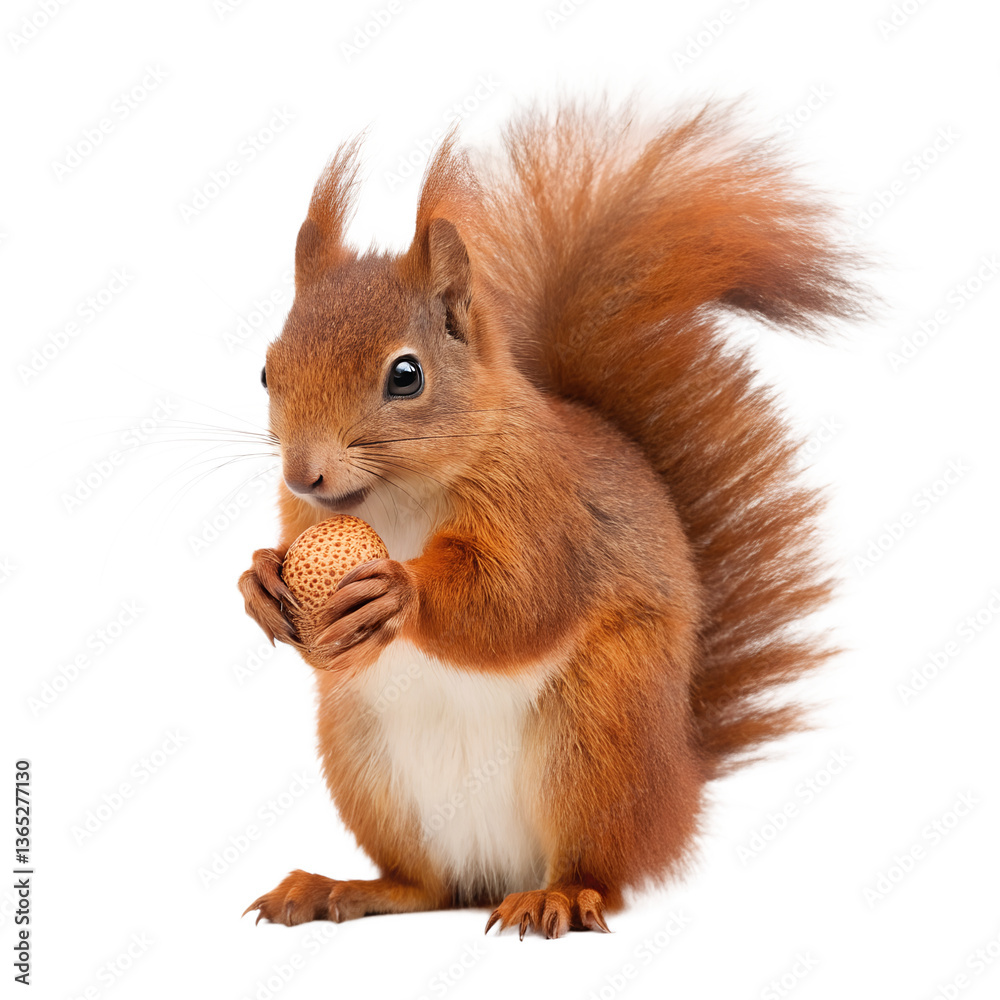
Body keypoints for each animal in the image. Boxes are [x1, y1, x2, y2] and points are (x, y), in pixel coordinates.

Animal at [239, 100, 868, 939]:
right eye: (266, 369)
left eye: (405, 376)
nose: (301, 472)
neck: (393, 500)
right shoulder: (303, 520)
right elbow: (318, 628)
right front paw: (258, 581)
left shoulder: (546, 507)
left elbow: (522, 599)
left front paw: (398, 589)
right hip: (363, 758)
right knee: (427, 886)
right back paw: (341, 887)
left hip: (597, 734)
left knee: (599, 870)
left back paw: (560, 896)